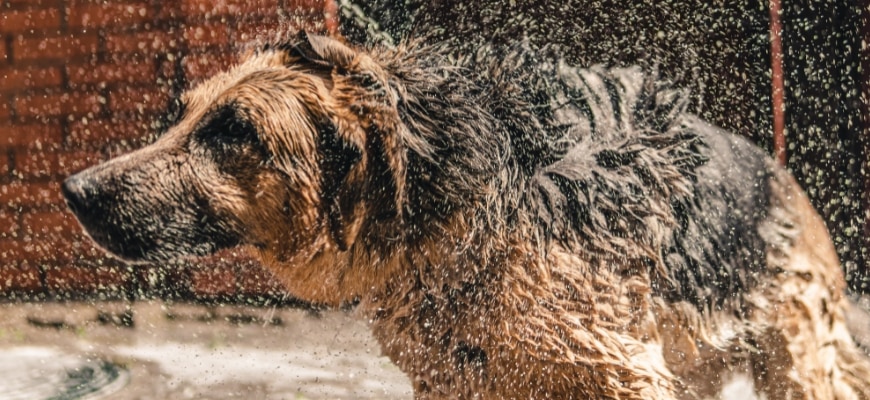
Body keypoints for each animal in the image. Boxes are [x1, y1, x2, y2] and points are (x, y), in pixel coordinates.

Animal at [63, 32, 870, 398]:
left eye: (234, 131)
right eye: (183, 114)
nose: (75, 190)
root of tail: (780, 174)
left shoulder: (621, 372)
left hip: (791, 360)